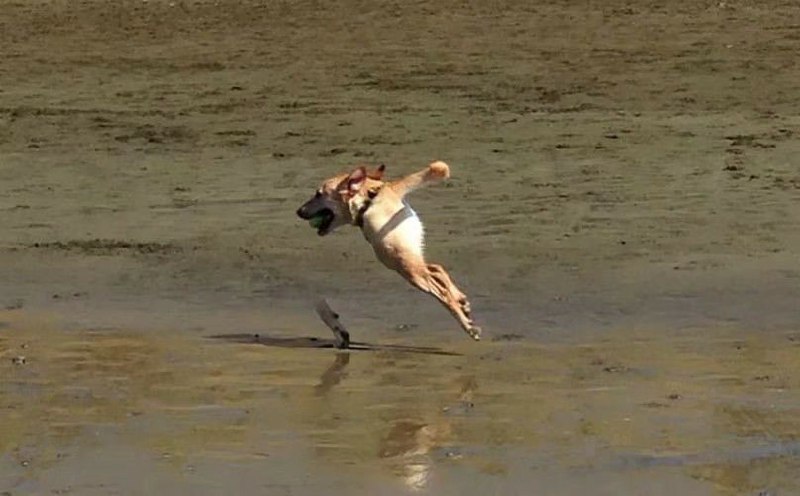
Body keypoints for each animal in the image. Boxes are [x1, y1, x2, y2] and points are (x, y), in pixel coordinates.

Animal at [296, 161, 481, 340]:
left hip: (401, 264)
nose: (298, 211)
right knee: (437, 269)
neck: (367, 201)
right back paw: (461, 301)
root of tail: (388, 188)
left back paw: (468, 325)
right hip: (406, 257)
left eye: (318, 194)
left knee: (439, 288)